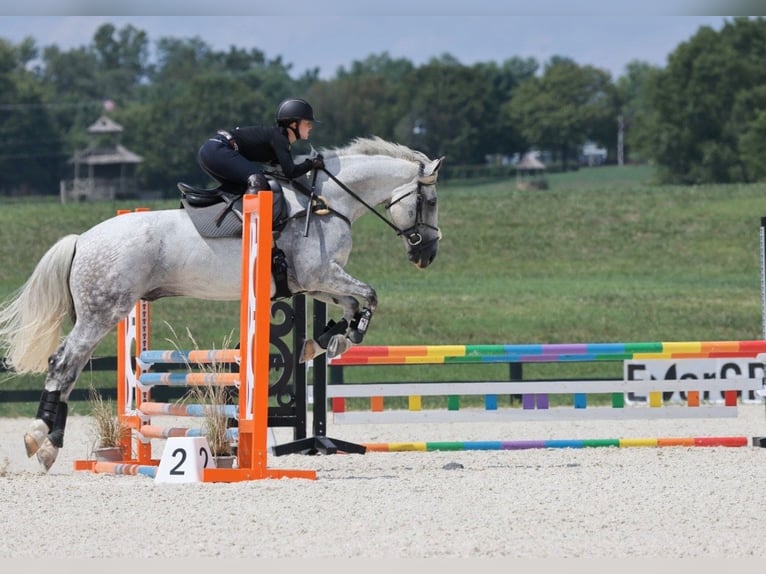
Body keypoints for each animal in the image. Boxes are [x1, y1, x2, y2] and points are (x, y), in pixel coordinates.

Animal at [0, 136, 443, 472]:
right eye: (432, 201)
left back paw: (51, 443)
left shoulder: (315, 282)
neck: (326, 200)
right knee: (63, 364)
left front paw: (321, 342)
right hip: (103, 312)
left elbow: (353, 306)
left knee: (70, 368)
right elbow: (369, 296)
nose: (428, 254)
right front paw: (331, 340)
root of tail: (82, 239)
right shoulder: (320, 273)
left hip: (102, 313)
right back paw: (40, 439)